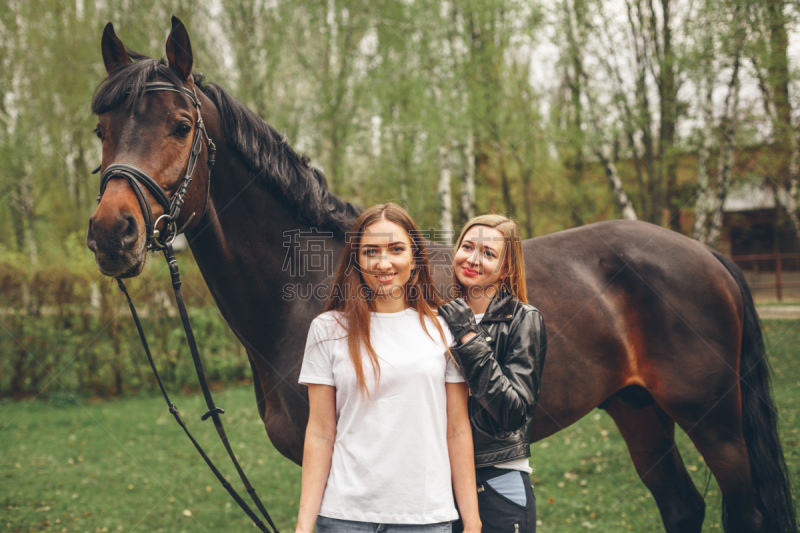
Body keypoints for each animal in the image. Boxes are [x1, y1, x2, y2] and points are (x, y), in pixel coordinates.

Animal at [84, 17, 796, 532]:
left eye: (181, 126)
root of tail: (706, 255)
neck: (307, 293)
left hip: (716, 425)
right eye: (101, 128)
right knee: (681, 506)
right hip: (639, 409)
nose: (111, 234)